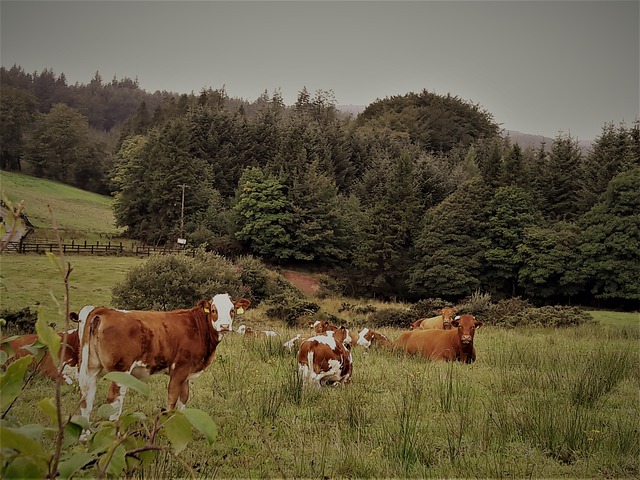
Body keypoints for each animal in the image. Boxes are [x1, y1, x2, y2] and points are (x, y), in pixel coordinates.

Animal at [77, 292, 250, 420]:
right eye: (214, 310)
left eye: (232, 310)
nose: (224, 326)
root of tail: (104, 311)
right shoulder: (180, 369)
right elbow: (172, 398)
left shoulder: (187, 372)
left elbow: (184, 397)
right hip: (121, 370)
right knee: (114, 400)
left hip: (91, 368)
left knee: (87, 399)